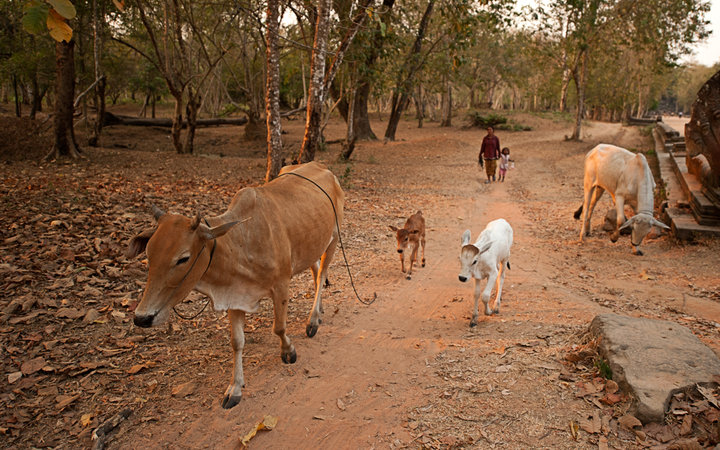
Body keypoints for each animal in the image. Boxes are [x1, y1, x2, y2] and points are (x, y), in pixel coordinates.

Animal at [126, 162, 344, 408]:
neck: (241, 241)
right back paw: (320, 310)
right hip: (312, 246)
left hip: (334, 238)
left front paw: (288, 351)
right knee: (316, 273)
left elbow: (279, 327)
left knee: (322, 274)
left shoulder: (281, 285)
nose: (142, 318)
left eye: (183, 258)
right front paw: (235, 388)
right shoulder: (235, 294)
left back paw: (313, 320)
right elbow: (237, 341)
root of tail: (322, 166)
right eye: (149, 255)